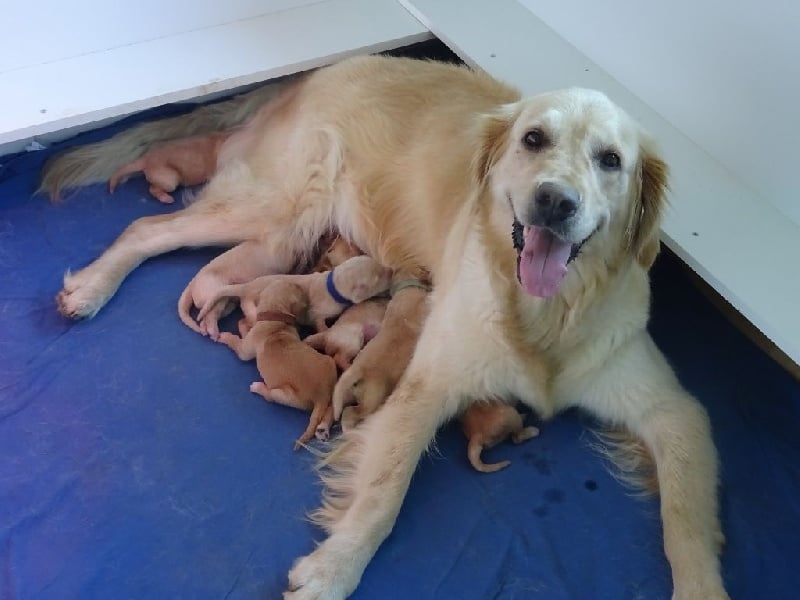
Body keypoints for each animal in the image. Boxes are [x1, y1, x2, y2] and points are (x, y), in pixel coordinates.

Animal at [214, 280, 336, 446]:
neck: (276, 320)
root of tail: (321, 396)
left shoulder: (244, 350)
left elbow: (237, 341)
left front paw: (230, 334)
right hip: (330, 363)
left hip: (282, 393)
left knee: (270, 396)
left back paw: (258, 387)